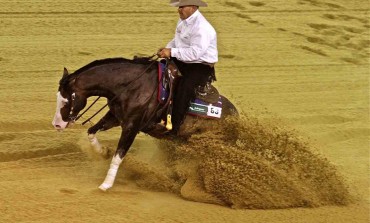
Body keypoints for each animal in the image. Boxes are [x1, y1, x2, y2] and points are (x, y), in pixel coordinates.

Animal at [51, 56, 237, 191]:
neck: (131, 86)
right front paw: (102, 151)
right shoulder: (115, 117)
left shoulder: (132, 126)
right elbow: (91, 131)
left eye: (66, 99)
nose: (57, 125)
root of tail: (234, 114)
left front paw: (106, 184)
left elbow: (118, 156)